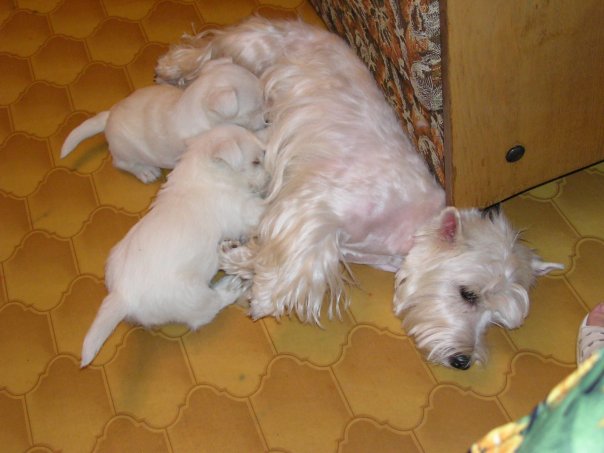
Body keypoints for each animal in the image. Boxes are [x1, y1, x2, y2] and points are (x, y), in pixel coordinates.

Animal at [61, 58, 265, 183]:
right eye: (254, 109)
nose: (268, 119)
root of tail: (108, 117)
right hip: (125, 151)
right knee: (121, 164)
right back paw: (146, 171)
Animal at [80, 124, 269, 367]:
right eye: (255, 161)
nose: (270, 176)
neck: (207, 173)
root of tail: (123, 295)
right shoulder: (244, 209)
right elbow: (265, 207)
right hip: (194, 298)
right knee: (210, 307)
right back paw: (230, 287)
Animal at [156, 17, 562, 369]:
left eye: (498, 319)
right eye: (468, 293)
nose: (463, 361)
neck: (409, 228)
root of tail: (303, 24)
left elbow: (278, 252)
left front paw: (240, 261)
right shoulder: (317, 203)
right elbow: (303, 261)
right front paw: (264, 295)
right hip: (253, 48)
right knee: (210, 44)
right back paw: (170, 67)